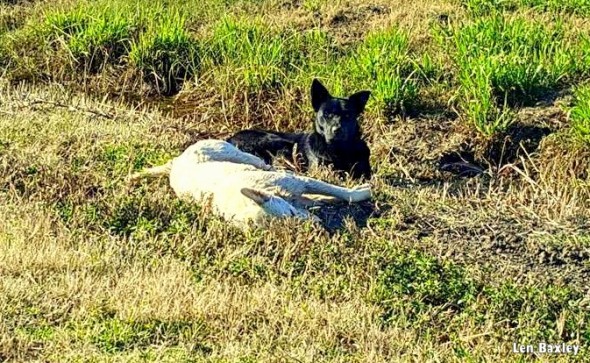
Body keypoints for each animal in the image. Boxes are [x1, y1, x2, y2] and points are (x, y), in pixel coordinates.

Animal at [130, 140, 372, 229]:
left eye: (291, 215)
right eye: (289, 229)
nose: (317, 227)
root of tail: (176, 161)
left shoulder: (300, 182)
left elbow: (341, 191)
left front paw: (363, 191)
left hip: (242, 156)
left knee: (267, 166)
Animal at [228, 80, 372, 181]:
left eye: (347, 115)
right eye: (326, 114)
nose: (337, 130)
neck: (339, 150)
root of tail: (230, 139)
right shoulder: (321, 168)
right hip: (280, 142)